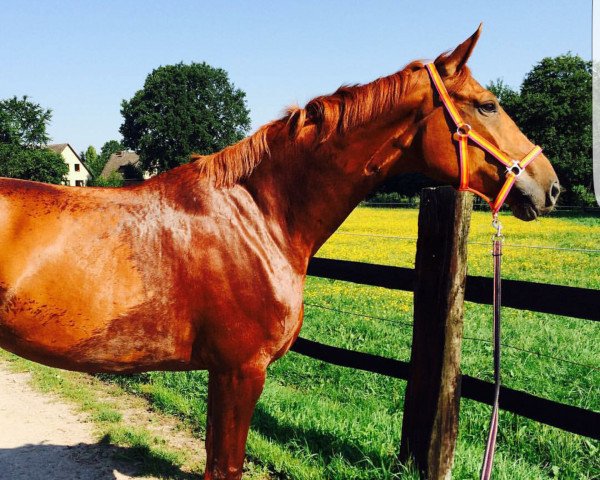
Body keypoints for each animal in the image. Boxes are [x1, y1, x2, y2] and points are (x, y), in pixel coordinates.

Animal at [2, 28, 560, 478]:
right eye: (487, 104)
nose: (549, 186)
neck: (257, 218)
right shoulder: (241, 371)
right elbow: (225, 466)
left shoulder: (228, 373)